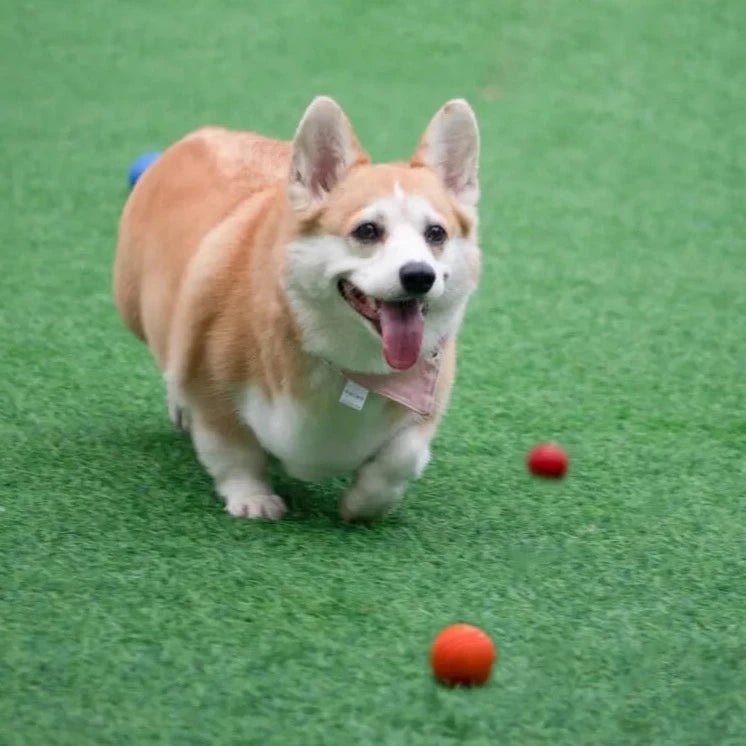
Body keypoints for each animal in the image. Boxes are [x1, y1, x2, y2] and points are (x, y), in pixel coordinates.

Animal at [113, 96, 480, 520]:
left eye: (435, 233)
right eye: (367, 231)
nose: (419, 275)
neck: (353, 367)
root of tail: (201, 135)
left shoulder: (424, 409)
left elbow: (400, 458)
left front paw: (363, 506)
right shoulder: (212, 394)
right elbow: (233, 453)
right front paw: (253, 500)